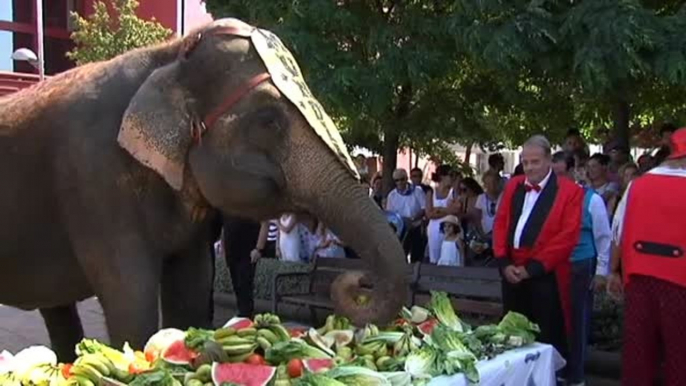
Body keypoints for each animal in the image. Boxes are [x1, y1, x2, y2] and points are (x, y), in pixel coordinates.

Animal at [0, 18, 408, 362]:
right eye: (269, 120)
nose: (359, 280)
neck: (169, 55)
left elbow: (191, 290)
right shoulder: (93, 179)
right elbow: (131, 299)